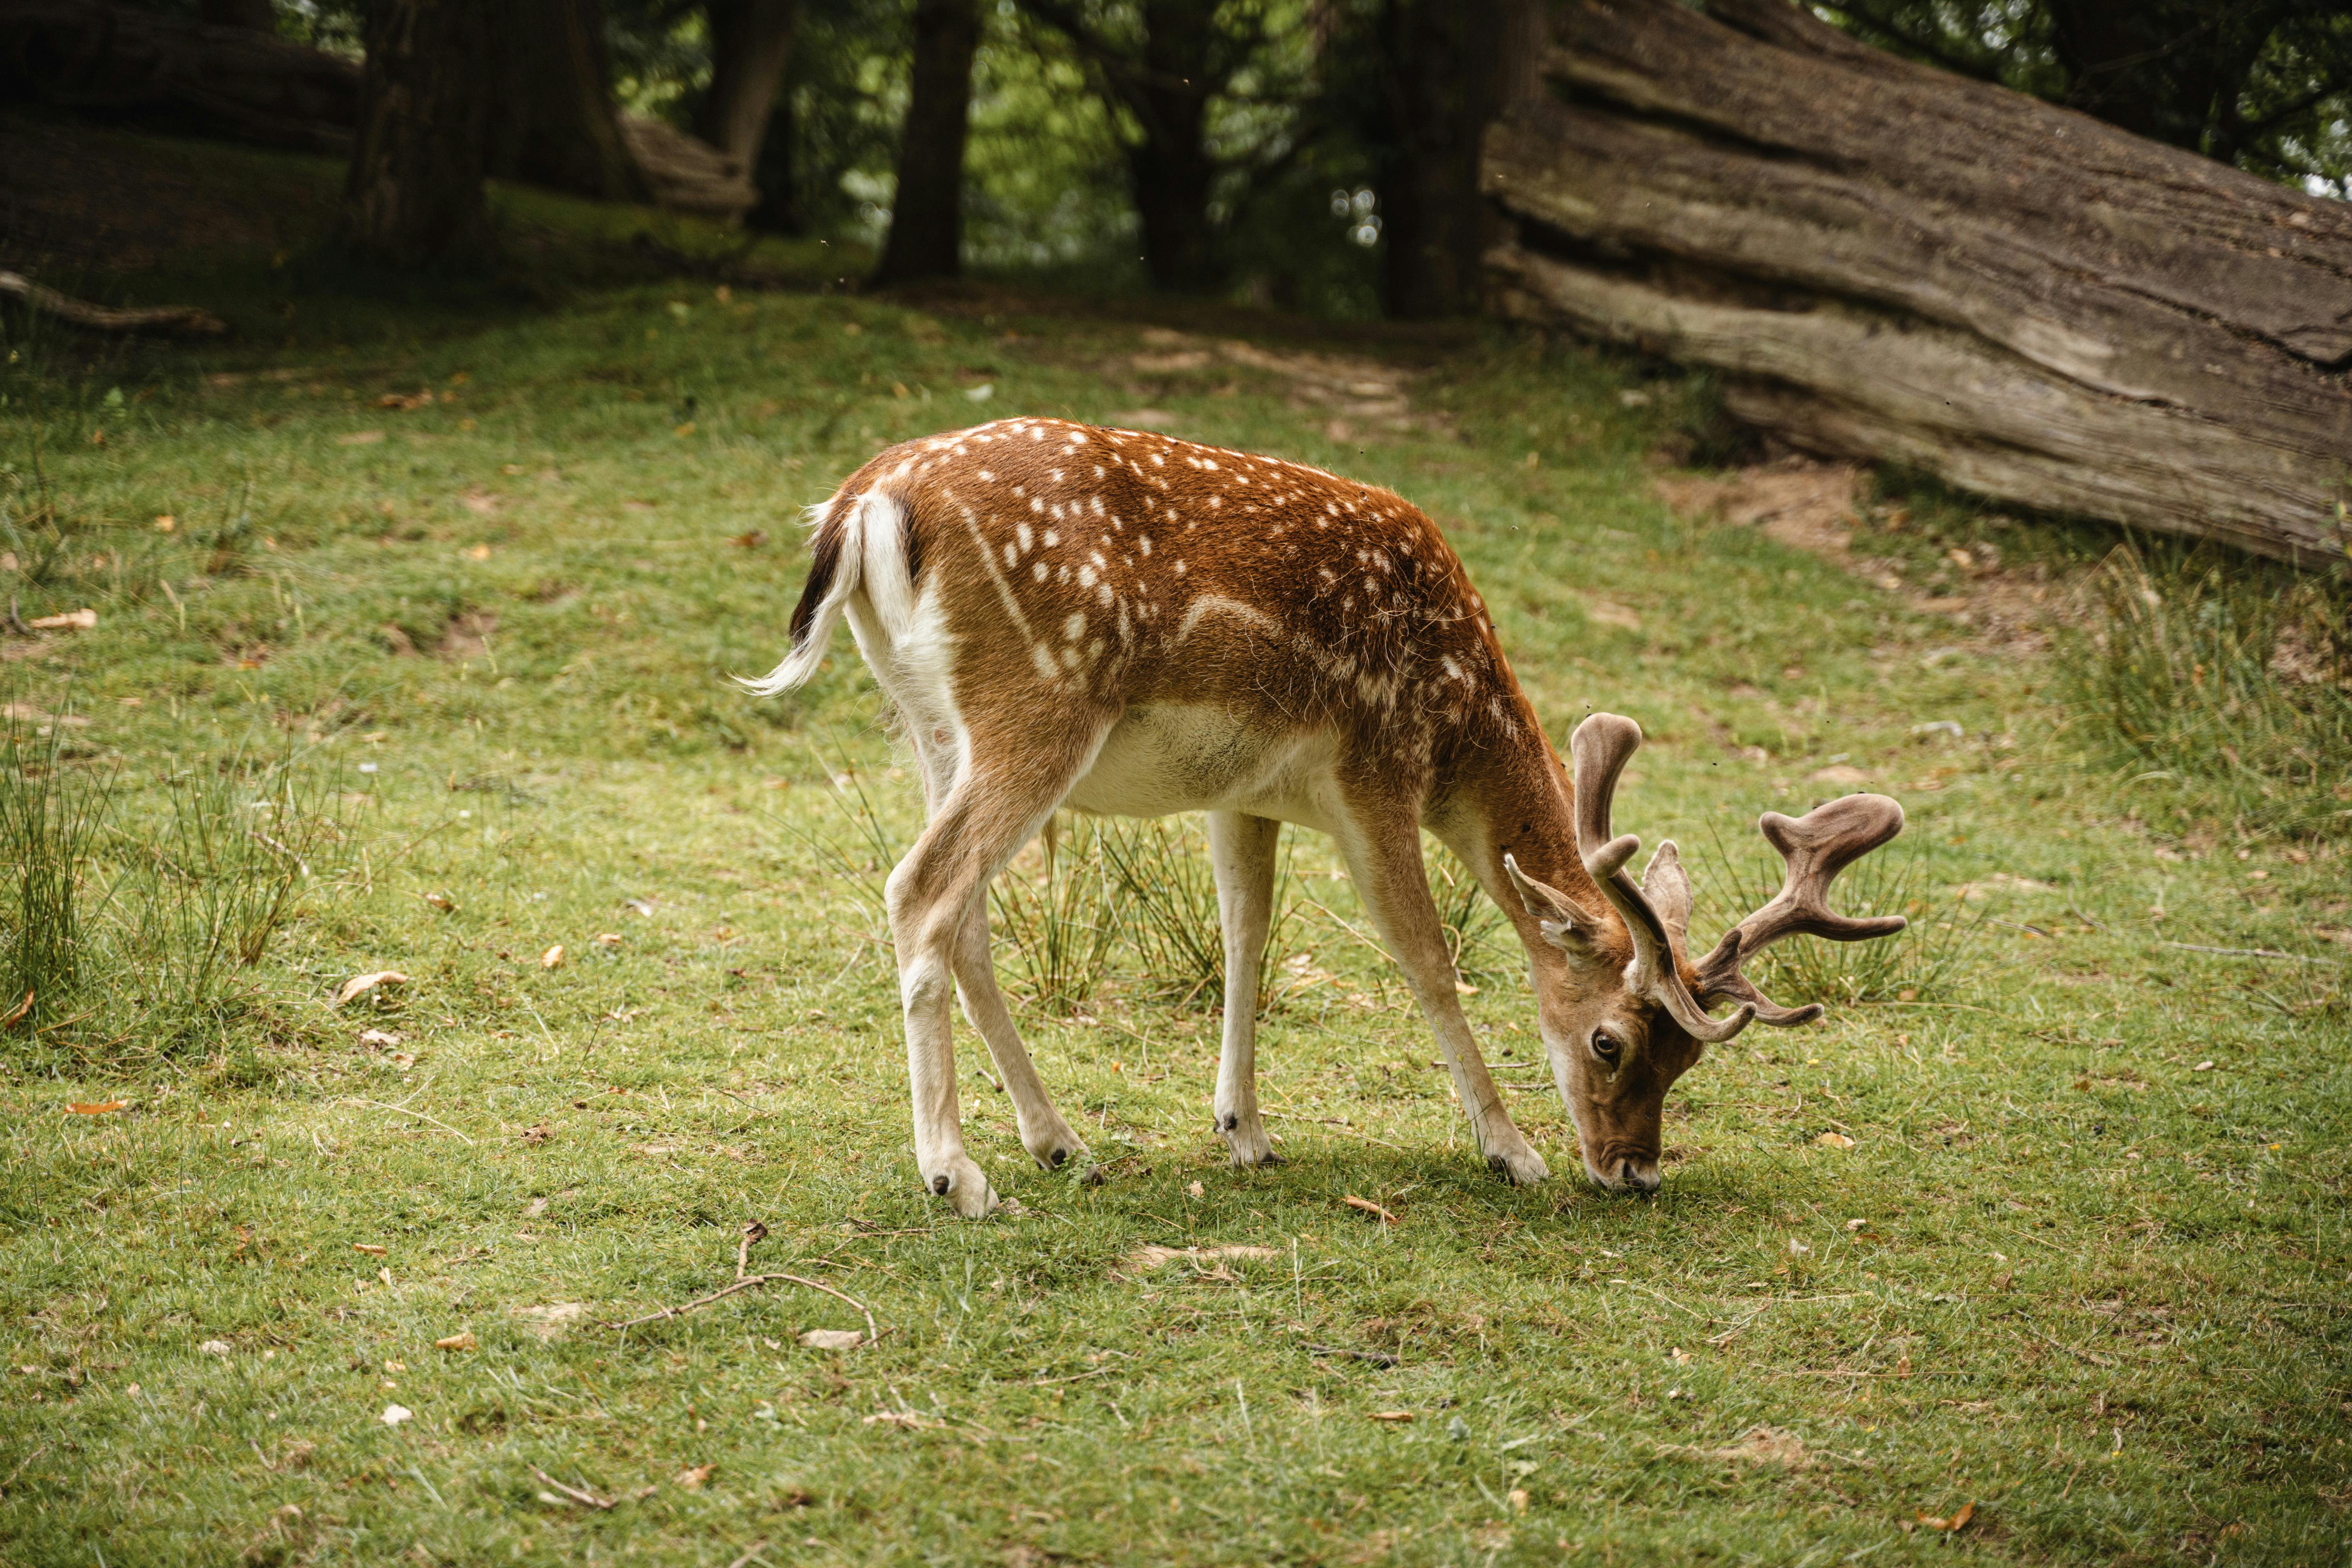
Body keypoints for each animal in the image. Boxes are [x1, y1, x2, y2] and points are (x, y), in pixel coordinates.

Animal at [753, 414, 1910, 1213]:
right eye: (1612, 1042)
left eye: (1689, 1059)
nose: (1635, 1173)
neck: (1459, 731)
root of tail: (863, 505)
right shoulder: (1375, 770)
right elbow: (1428, 956)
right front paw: (1513, 1150)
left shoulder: (1244, 796)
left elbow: (1246, 935)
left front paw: (1245, 1129)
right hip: (1038, 704)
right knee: (921, 889)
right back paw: (958, 1174)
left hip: (934, 726)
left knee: (967, 923)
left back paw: (1058, 1142)